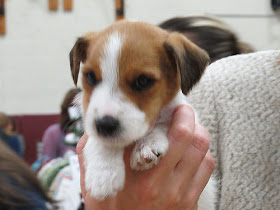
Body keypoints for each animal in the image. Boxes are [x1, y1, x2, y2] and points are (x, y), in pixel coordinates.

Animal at [69, 20, 215, 209]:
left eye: (143, 81)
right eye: (91, 77)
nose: (104, 125)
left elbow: (162, 123)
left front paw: (147, 145)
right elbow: (100, 142)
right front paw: (103, 174)